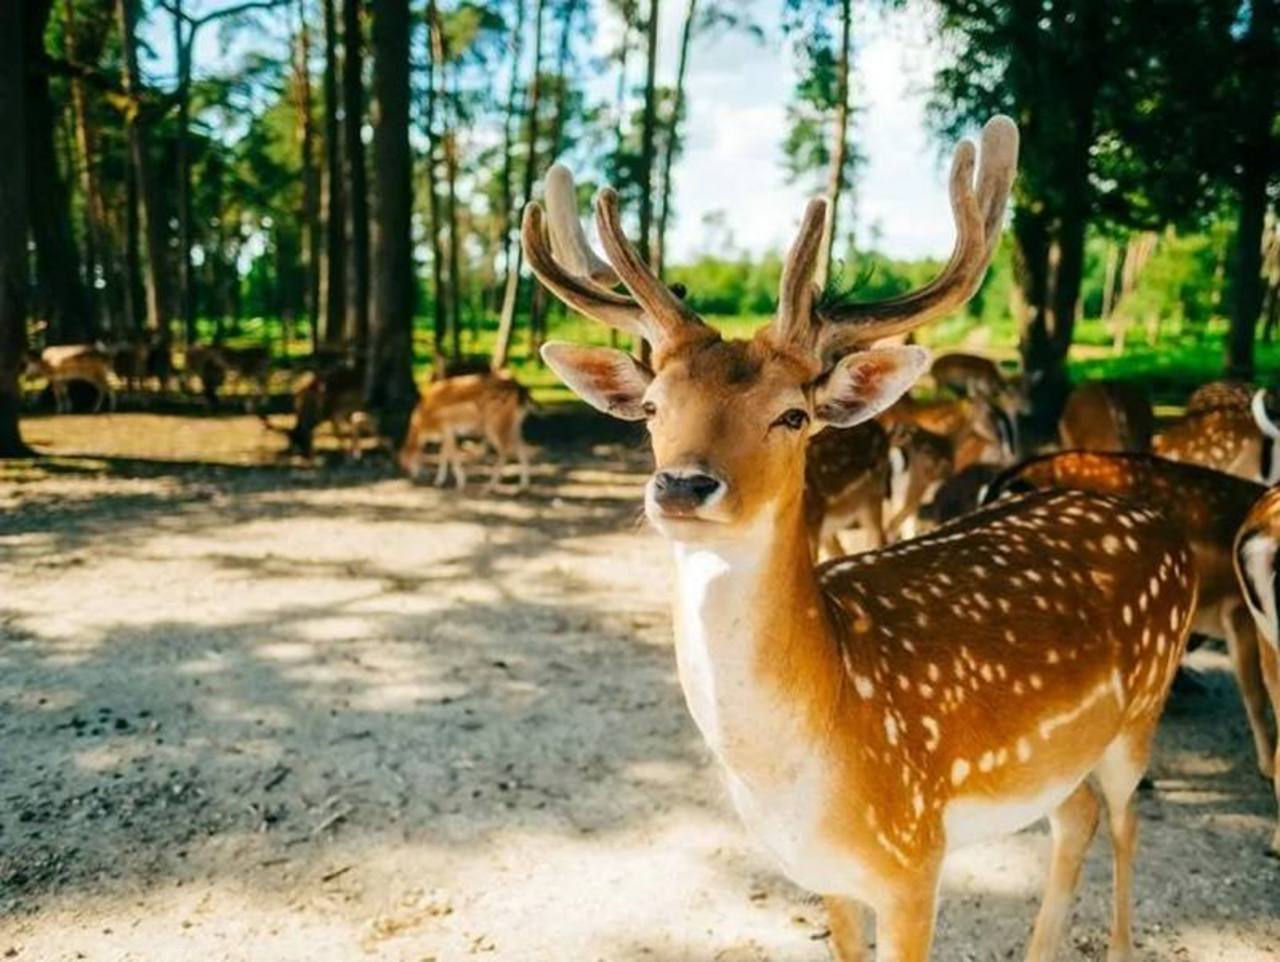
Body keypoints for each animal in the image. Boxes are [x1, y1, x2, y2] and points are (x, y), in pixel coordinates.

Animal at [398, 371, 532, 492]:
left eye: (406, 464)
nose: (412, 478)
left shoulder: (447, 429)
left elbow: (452, 457)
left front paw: (460, 483)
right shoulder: (447, 434)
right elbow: (443, 456)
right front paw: (439, 481)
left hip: (494, 426)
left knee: (505, 452)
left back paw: (489, 486)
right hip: (513, 426)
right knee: (522, 448)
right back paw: (523, 485)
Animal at [525, 118, 1200, 962]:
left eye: (793, 415)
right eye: (651, 407)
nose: (681, 485)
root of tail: (1164, 526)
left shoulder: (915, 858)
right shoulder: (824, 876)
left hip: (1141, 713)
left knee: (1127, 822)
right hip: (1060, 758)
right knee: (1073, 817)